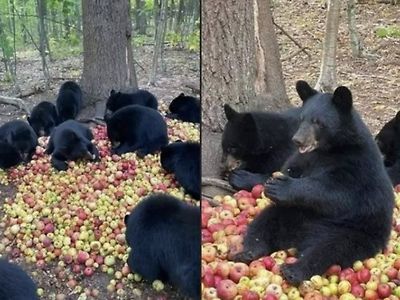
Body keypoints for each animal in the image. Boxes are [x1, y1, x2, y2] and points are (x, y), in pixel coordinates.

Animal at [234, 81, 394, 284]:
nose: (297, 140)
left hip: (353, 231)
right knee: (264, 222)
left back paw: (294, 270)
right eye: (302, 118)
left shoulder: (357, 164)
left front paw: (282, 186)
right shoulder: (304, 158)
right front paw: (265, 181)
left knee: (329, 249)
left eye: (318, 122)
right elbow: (289, 167)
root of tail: (299, 238)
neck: (328, 149)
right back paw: (248, 252)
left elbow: (338, 192)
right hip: (290, 214)